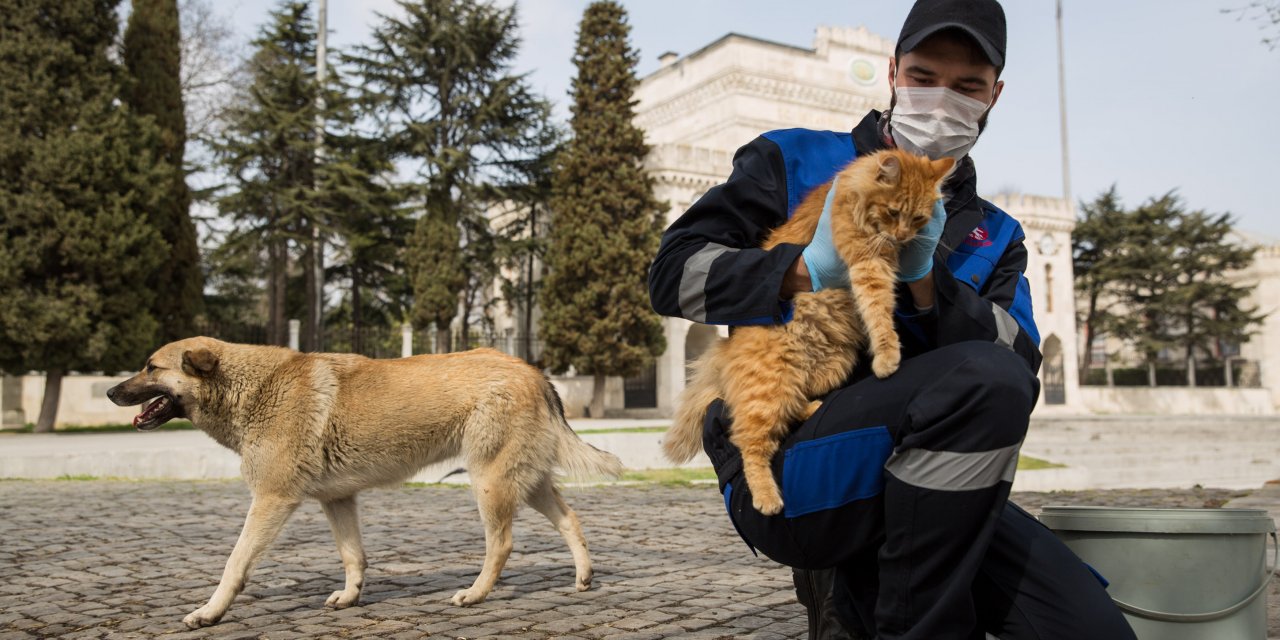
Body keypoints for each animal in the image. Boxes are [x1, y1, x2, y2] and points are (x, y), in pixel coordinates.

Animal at [106, 337, 624, 627]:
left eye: (151, 367)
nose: (111, 390)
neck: (252, 388)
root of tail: (533, 371)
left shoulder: (271, 501)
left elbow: (235, 564)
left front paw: (210, 613)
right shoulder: (338, 500)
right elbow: (353, 556)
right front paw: (351, 597)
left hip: (490, 483)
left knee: (502, 544)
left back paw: (475, 594)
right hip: (526, 482)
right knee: (571, 520)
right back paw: (583, 577)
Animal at [665, 148, 957, 514]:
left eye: (919, 219)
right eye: (893, 212)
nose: (904, 236)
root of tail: (725, 353)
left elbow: (883, 306)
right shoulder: (867, 260)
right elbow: (878, 309)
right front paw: (888, 355)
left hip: (830, 367)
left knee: (789, 404)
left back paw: (812, 407)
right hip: (769, 386)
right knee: (749, 440)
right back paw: (767, 497)